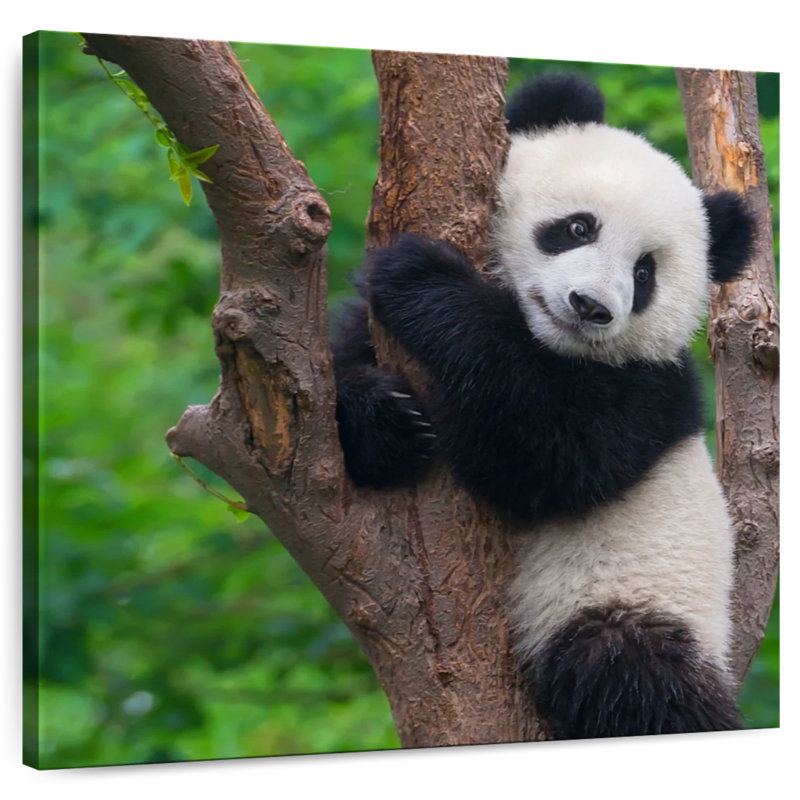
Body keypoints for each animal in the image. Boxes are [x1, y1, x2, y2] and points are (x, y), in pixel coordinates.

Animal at [331, 73, 754, 739]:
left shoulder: (648, 392)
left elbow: (545, 459)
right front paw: (385, 421)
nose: (590, 306)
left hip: (630, 601)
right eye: (579, 228)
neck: (551, 344)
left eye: (645, 273)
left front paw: (423, 279)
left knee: (630, 675)